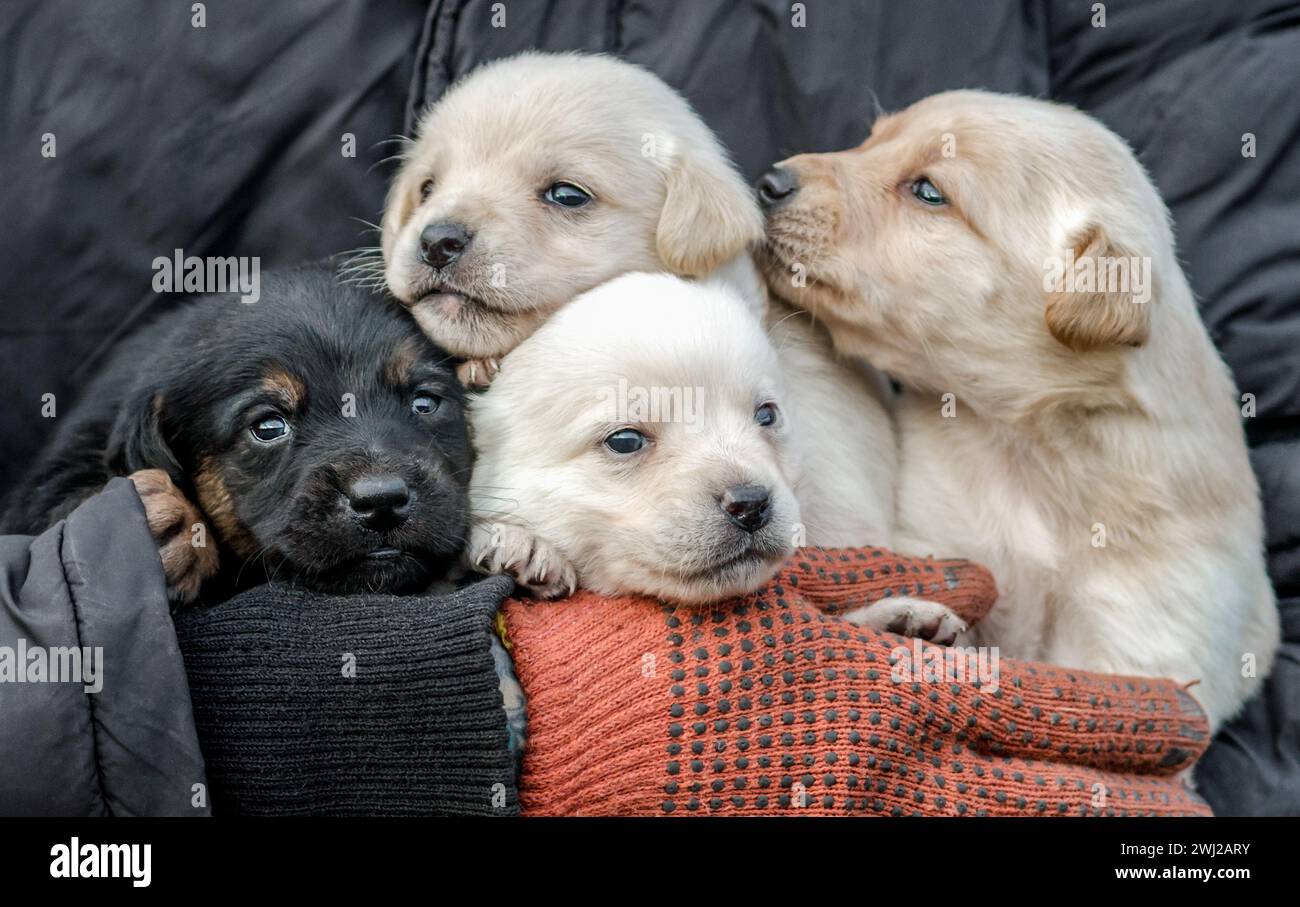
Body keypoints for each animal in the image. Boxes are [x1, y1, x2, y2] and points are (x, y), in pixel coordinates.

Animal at [759, 90, 1279, 727]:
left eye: (928, 191)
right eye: (873, 139)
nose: (769, 181)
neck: (1032, 442)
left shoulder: (1145, 633)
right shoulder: (942, 537)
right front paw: (898, 624)